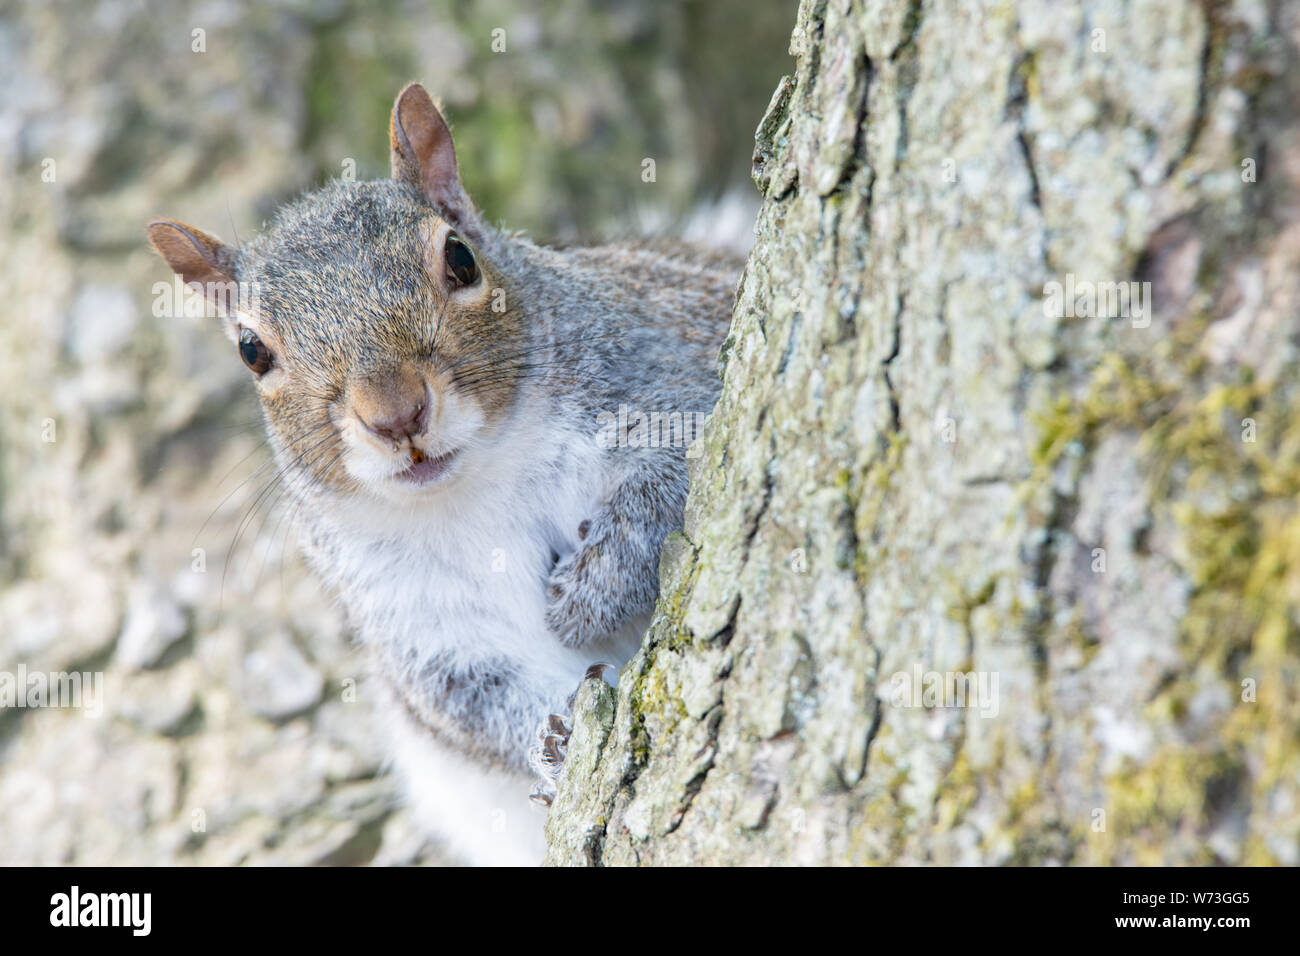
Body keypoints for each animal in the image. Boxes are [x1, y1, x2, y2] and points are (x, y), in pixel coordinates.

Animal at [148, 83, 743, 868]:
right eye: (251, 350)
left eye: (460, 259)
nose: (395, 415)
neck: (481, 477)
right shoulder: (419, 621)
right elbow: (471, 702)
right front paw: (553, 742)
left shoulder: (669, 381)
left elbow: (664, 486)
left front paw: (584, 598)